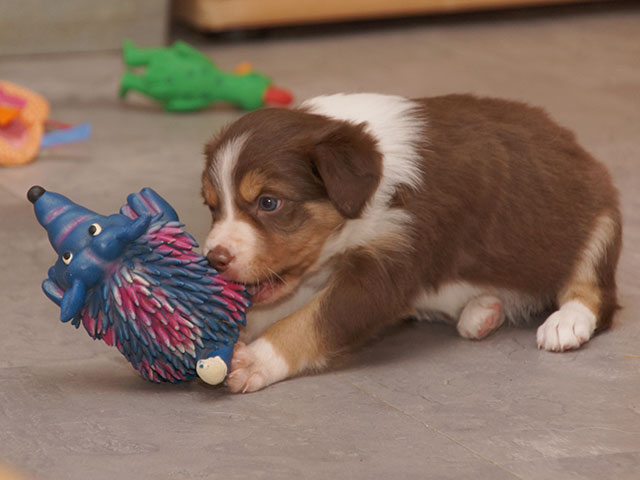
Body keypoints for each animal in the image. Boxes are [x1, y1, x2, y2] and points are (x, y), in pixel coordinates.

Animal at [200, 93, 621, 393]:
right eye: (211, 205)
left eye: (269, 203)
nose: (214, 258)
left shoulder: (390, 262)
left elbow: (310, 320)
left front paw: (255, 361)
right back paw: (483, 311)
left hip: (599, 220)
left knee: (594, 293)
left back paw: (565, 323)